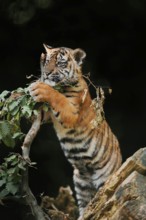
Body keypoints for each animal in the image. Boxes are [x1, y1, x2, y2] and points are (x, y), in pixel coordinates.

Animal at [28, 44, 122, 218]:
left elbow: (57, 97)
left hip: (105, 178)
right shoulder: (48, 115)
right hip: (81, 181)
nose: (47, 73)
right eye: (47, 61)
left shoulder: (71, 112)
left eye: (60, 63)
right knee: (86, 203)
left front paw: (39, 87)